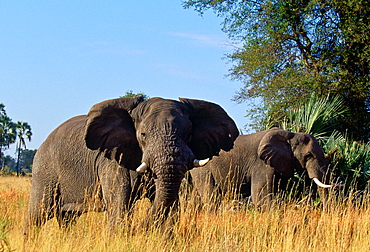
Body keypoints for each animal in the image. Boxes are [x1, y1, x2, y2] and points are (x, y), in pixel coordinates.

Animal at [26, 95, 240, 229]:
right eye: (143, 135)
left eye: (188, 134)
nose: (140, 226)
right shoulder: (112, 161)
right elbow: (119, 204)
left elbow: (170, 205)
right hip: (45, 168)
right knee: (38, 213)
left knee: (66, 218)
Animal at [191, 128, 332, 209]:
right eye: (308, 156)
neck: (291, 135)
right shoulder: (262, 165)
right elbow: (261, 197)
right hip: (203, 169)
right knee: (210, 197)